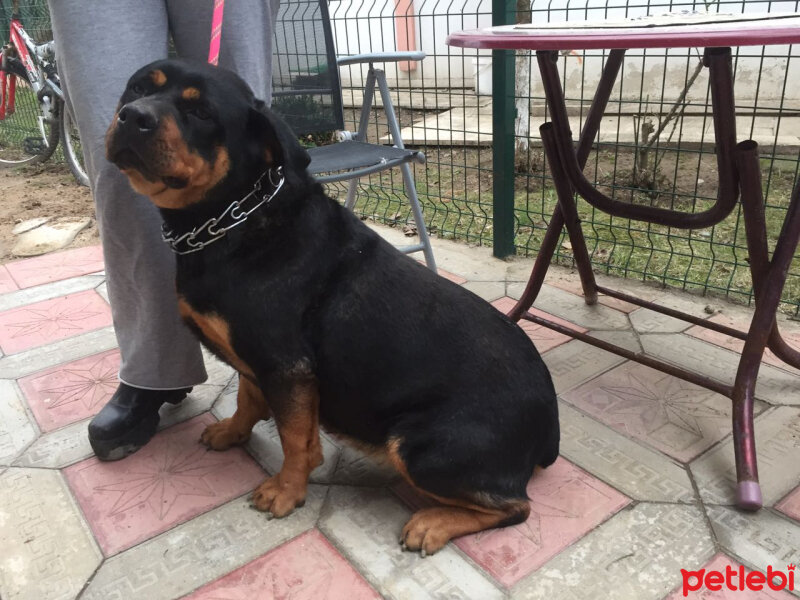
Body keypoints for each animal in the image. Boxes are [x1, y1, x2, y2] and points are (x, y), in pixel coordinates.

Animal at [104, 58, 556, 556]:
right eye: (137, 88)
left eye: (201, 112)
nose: (133, 116)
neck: (233, 222)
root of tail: (550, 424)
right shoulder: (263, 362)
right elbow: (247, 396)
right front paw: (234, 431)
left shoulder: (288, 367)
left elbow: (294, 436)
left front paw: (286, 491)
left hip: (420, 445)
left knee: (515, 507)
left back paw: (433, 523)